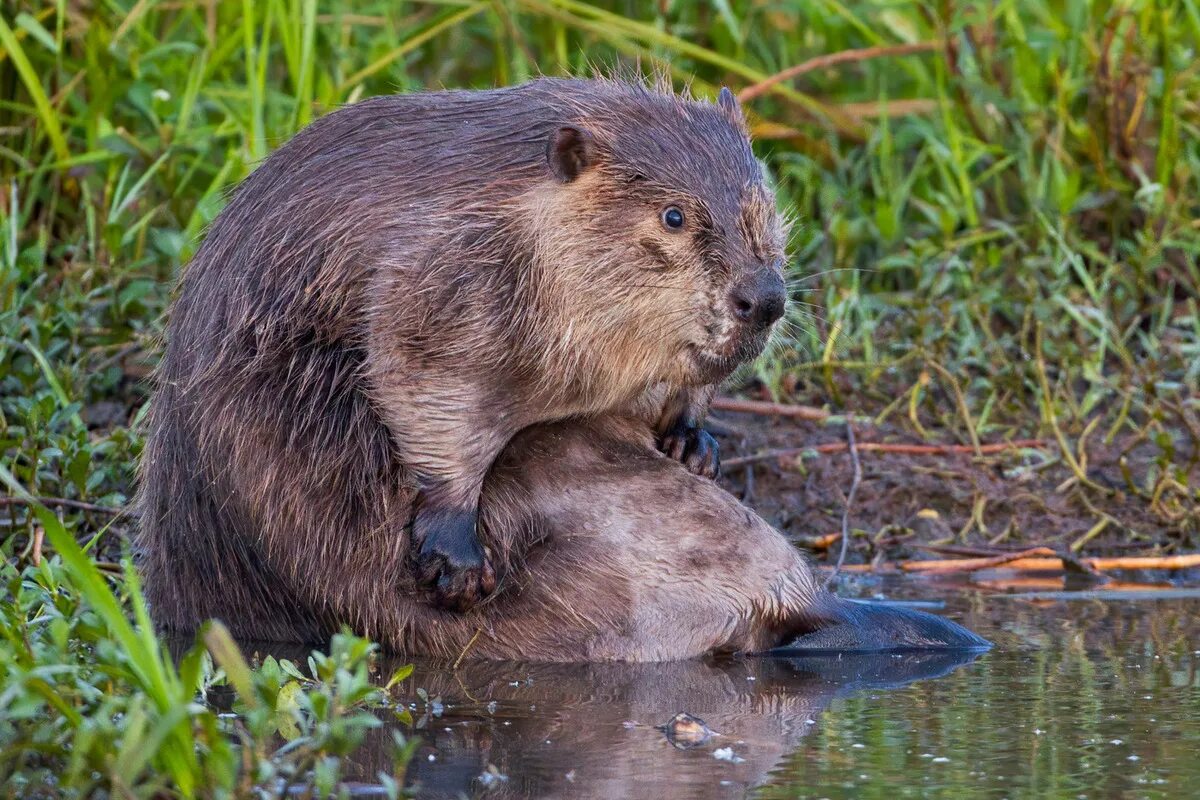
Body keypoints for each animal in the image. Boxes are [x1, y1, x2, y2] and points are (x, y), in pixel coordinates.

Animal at [140, 77, 988, 662]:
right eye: (674, 216)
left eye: (761, 203)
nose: (764, 297)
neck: (523, 208)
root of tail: (802, 605)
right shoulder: (447, 272)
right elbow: (422, 381)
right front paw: (455, 557)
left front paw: (693, 440)